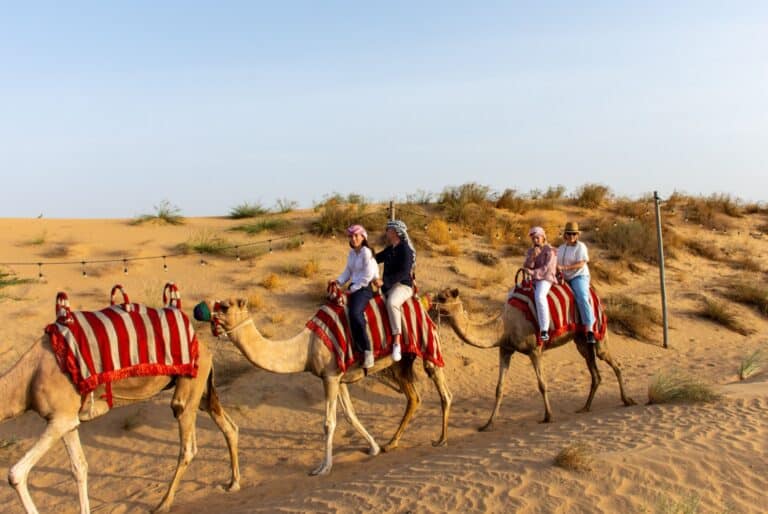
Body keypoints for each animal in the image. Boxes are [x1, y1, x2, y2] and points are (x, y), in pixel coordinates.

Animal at [0, 332, 240, 512]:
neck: (26, 379)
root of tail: (206, 347)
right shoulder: (66, 420)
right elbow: (80, 468)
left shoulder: (59, 419)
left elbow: (15, 474)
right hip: (203, 390)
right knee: (229, 426)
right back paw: (233, 483)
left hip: (189, 389)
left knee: (187, 445)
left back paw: (163, 504)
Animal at [207, 298, 452, 474]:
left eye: (225, 306)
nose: (210, 319)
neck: (304, 349)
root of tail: (421, 304)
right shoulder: (339, 378)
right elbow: (350, 415)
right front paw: (373, 447)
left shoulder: (330, 376)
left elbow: (329, 422)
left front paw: (323, 468)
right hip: (400, 361)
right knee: (413, 398)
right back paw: (391, 443)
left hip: (426, 341)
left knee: (441, 386)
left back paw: (441, 439)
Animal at [428, 288, 632, 428]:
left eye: (443, 297)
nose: (428, 305)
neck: (504, 326)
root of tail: (594, 295)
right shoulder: (505, 349)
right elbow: (499, 388)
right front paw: (488, 424)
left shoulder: (535, 350)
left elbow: (542, 384)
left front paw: (548, 416)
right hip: (581, 340)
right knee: (595, 372)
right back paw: (585, 407)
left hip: (597, 331)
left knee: (613, 362)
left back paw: (627, 400)